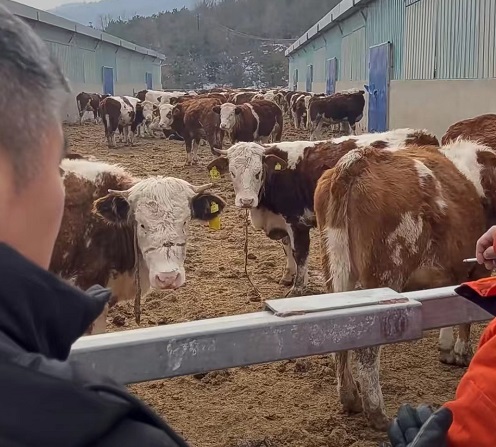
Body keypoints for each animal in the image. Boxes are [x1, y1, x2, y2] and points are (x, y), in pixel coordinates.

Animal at [207, 129, 439, 296]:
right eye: (232, 172)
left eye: (258, 172)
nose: (246, 200)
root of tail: (422, 135)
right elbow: (286, 248)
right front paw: (288, 276)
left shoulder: (298, 222)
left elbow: (299, 253)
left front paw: (297, 288)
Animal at [313, 138, 496, 430]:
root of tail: (359, 160)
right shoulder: (475, 267)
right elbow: (465, 314)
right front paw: (459, 352)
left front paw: (446, 348)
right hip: (385, 276)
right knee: (367, 351)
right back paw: (377, 413)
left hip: (334, 271)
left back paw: (350, 399)